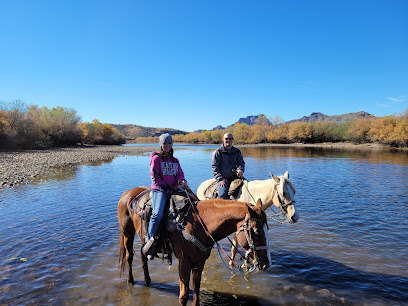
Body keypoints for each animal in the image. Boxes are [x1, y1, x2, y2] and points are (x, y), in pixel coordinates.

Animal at [117, 186, 270, 306]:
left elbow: (196, 291)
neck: (200, 225)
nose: (265, 265)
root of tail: (127, 193)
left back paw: (147, 280)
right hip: (127, 233)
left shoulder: (199, 263)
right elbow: (184, 296)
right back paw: (131, 280)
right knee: (129, 256)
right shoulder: (184, 263)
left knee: (143, 254)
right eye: (257, 232)